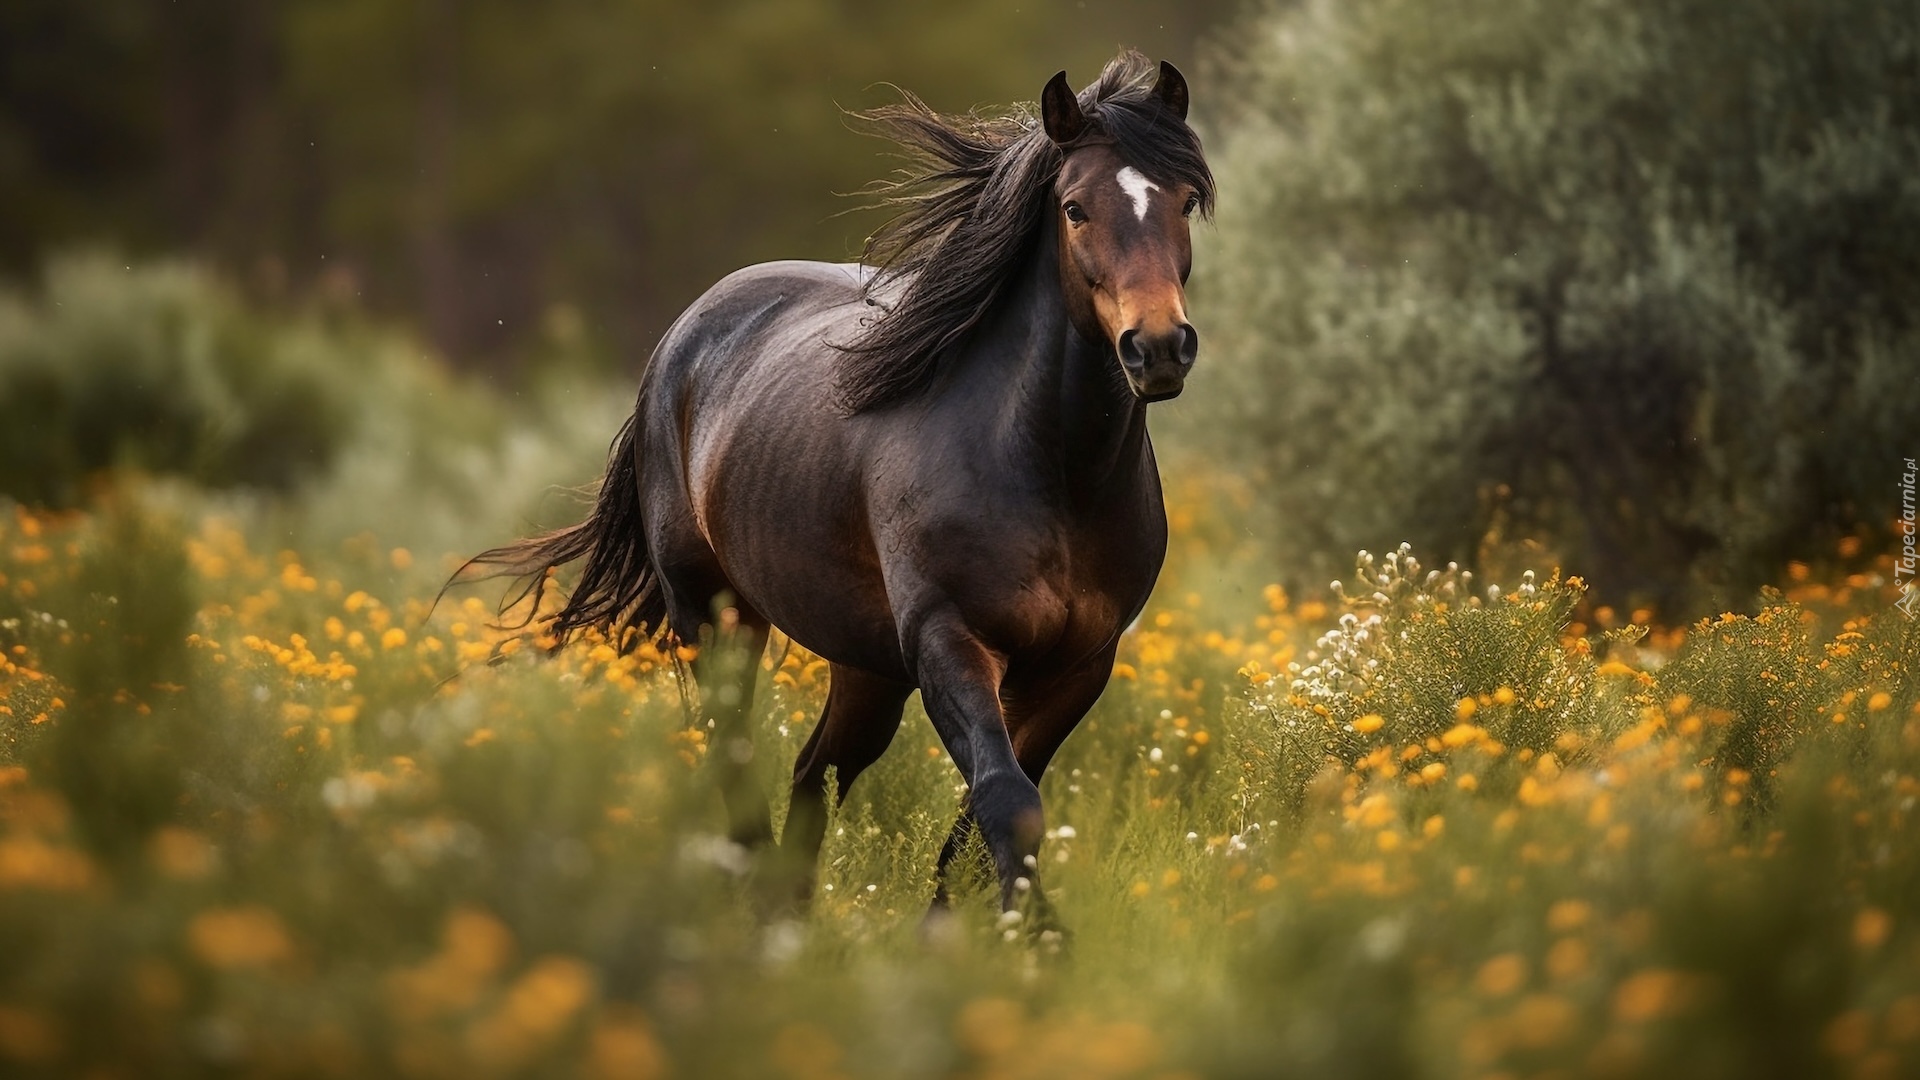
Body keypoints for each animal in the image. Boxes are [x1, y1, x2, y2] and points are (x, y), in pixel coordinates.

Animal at [462, 52, 1205, 926]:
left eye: (1185, 200)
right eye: (1076, 208)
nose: (1158, 347)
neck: (1049, 470)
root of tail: (682, 335)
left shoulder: (1078, 664)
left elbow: (995, 804)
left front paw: (960, 926)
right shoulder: (949, 639)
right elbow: (1005, 794)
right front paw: (1036, 937)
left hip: (867, 663)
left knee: (817, 767)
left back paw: (788, 910)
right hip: (715, 613)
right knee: (735, 748)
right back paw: (755, 901)